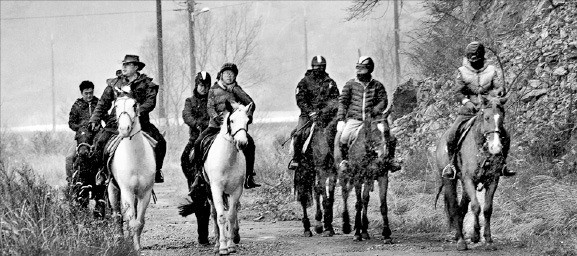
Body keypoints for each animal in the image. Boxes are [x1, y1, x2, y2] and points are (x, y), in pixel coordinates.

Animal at [107, 95, 156, 251]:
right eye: (116, 106)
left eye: (134, 105)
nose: (124, 129)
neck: (135, 158)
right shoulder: (126, 191)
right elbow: (131, 221)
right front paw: (133, 247)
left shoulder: (145, 193)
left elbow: (139, 222)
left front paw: (137, 245)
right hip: (112, 189)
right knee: (117, 215)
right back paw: (119, 239)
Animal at [204, 100, 253, 254]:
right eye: (231, 120)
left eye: (247, 121)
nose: (242, 143)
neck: (228, 160)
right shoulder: (216, 189)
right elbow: (220, 217)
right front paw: (223, 247)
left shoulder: (236, 190)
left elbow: (231, 216)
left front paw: (231, 245)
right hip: (209, 191)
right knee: (214, 214)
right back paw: (216, 244)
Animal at [434, 95, 506, 250]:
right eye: (487, 118)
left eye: (502, 118)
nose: (496, 147)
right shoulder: (469, 180)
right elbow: (475, 207)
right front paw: (476, 235)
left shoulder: (493, 180)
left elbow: (487, 209)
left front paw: (488, 240)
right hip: (450, 180)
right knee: (455, 207)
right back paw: (461, 241)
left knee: (462, 207)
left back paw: (459, 235)